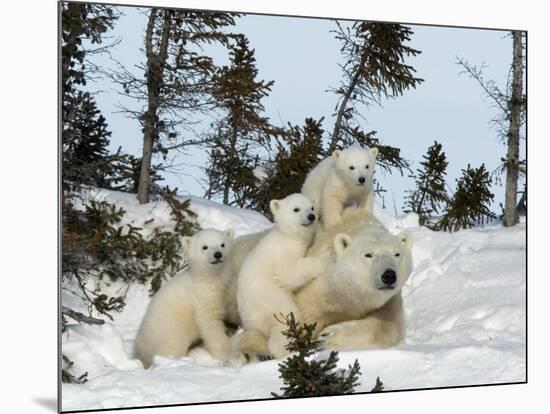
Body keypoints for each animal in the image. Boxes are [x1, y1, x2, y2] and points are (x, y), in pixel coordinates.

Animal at [234, 209, 414, 358]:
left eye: (397, 254)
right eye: (368, 254)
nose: (389, 276)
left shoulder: (387, 300)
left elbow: (389, 325)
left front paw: (327, 338)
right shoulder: (314, 291)